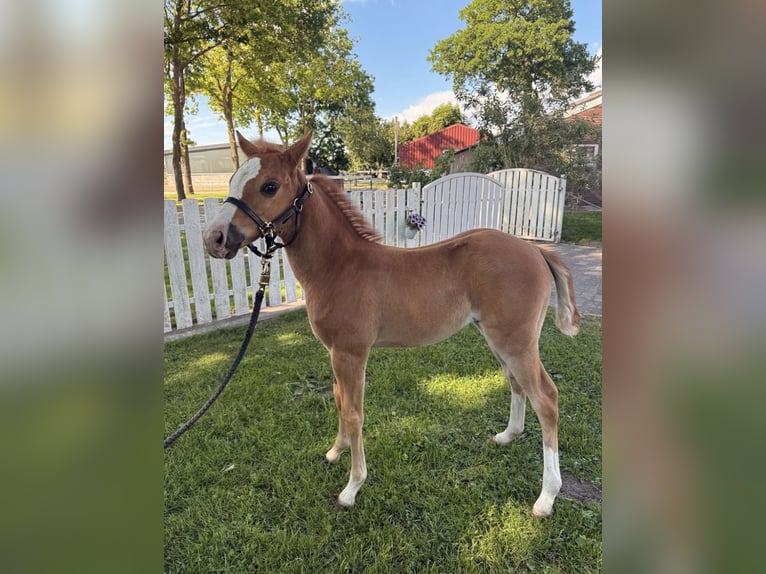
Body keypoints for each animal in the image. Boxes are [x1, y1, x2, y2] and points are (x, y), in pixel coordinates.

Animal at [203, 132, 580, 517]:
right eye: (233, 179)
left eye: (269, 186)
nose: (214, 239)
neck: (338, 266)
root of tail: (536, 251)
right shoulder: (334, 352)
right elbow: (339, 401)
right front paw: (335, 451)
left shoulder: (351, 353)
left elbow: (355, 412)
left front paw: (352, 487)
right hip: (497, 338)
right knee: (517, 383)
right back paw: (507, 436)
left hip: (516, 341)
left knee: (546, 399)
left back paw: (546, 497)